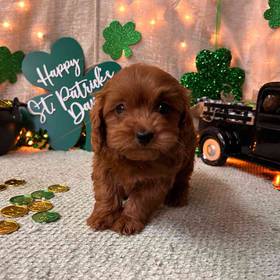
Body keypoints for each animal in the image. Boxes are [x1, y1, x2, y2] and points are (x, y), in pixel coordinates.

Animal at [87, 63, 195, 234]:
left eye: (163, 107)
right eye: (120, 108)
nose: (144, 135)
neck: (135, 160)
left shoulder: (156, 180)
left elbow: (140, 200)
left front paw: (127, 220)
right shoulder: (103, 168)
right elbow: (106, 193)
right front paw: (102, 216)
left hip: (187, 160)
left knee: (183, 179)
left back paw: (177, 196)